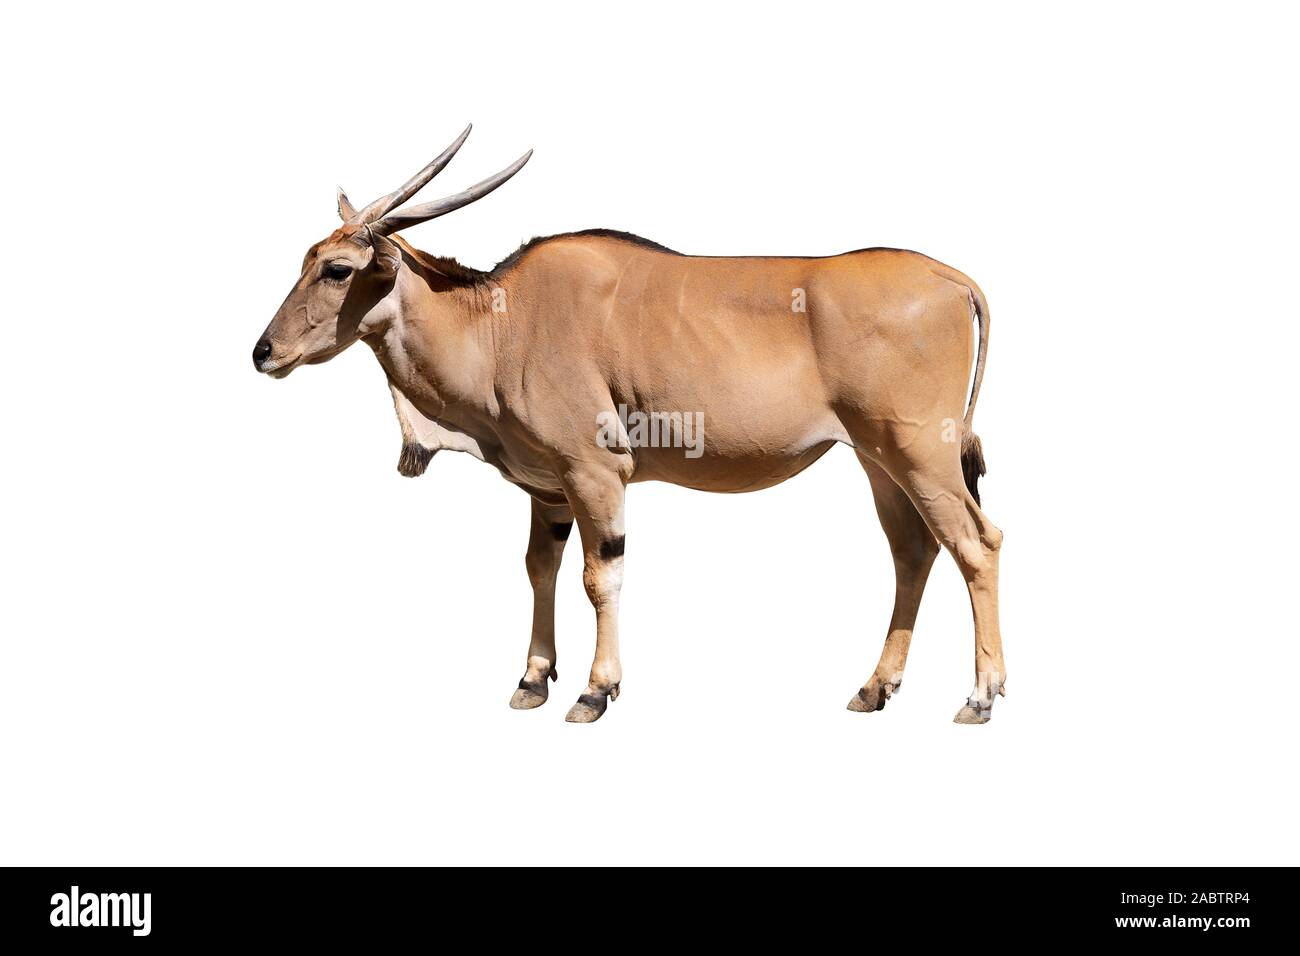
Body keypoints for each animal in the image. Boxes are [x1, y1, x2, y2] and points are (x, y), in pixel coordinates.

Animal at [252, 126, 1006, 724]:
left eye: (337, 269)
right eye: (306, 260)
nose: (263, 352)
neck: (499, 322)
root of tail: (954, 280)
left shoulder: (596, 472)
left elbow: (598, 576)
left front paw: (594, 691)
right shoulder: (551, 489)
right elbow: (539, 567)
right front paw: (533, 679)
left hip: (920, 455)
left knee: (977, 543)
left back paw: (980, 695)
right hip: (877, 461)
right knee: (913, 550)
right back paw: (876, 688)